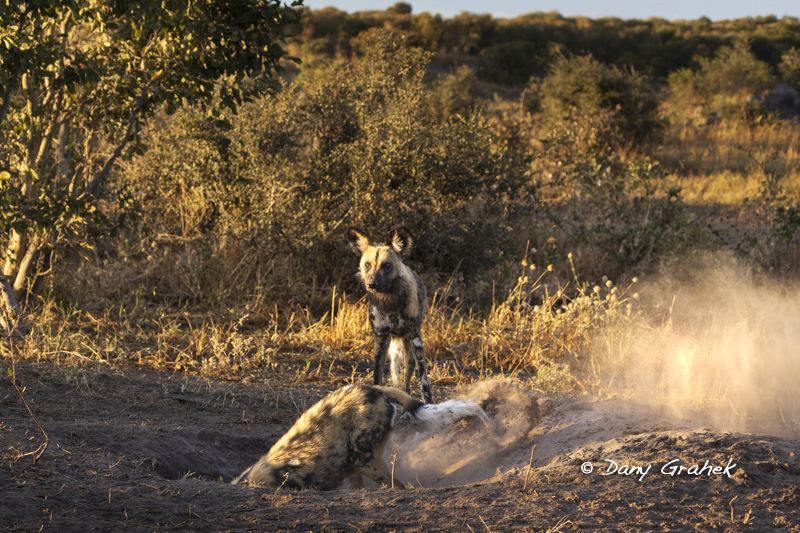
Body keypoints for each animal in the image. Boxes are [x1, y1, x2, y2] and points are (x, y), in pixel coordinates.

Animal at [344, 225, 432, 404]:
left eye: (387, 265)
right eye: (367, 265)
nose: (371, 284)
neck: (390, 303)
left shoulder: (415, 339)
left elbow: (424, 383)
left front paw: (430, 403)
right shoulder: (381, 339)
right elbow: (377, 376)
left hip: (410, 347)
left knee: (409, 375)